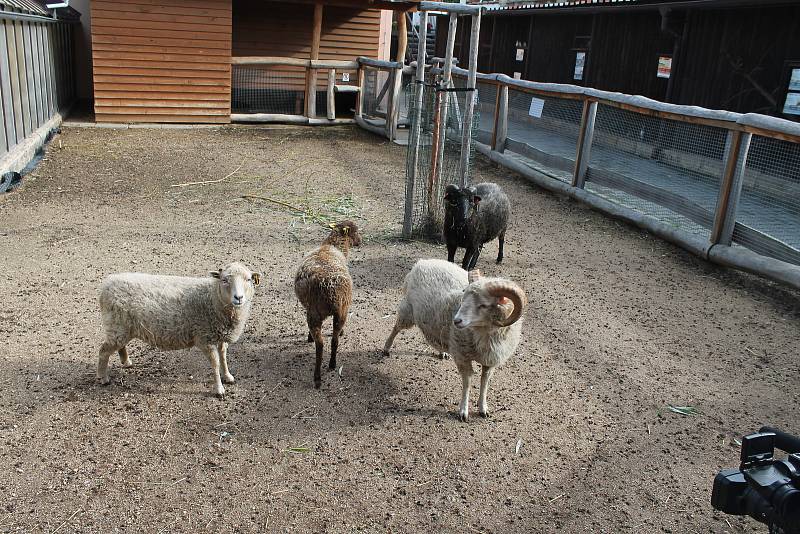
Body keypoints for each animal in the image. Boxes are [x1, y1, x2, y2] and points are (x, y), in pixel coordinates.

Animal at [95, 262, 260, 398]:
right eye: (224, 280)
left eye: (248, 279)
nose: (238, 297)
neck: (213, 299)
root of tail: (108, 283)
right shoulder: (204, 337)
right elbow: (215, 363)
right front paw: (219, 389)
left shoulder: (220, 336)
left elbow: (224, 357)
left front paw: (228, 376)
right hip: (116, 326)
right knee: (103, 351)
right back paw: (103, 378)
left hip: (121, 328)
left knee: (119, 346)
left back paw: (126, 362)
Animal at [294, 222, 362, 390]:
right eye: (356, 231)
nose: (361, 241)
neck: (331, 246)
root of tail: (332, 293)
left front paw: (308, 337)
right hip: (341, 311)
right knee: (333, 341)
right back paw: (331, 364)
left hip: (315, 313)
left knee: (320, 345)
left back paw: (318, 377)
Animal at [382, 260, 524, 422]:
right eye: (463, 299)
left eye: (483, 305)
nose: (456, 321)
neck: (482, 334)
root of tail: (423, 262)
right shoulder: (462, 355)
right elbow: (467, 383)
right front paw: (463, 411)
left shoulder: (490, 359)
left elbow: (484, 382)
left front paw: (483, 408)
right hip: (408, 311)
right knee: (396, 327)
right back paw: (386, 347)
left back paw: (441, 352)